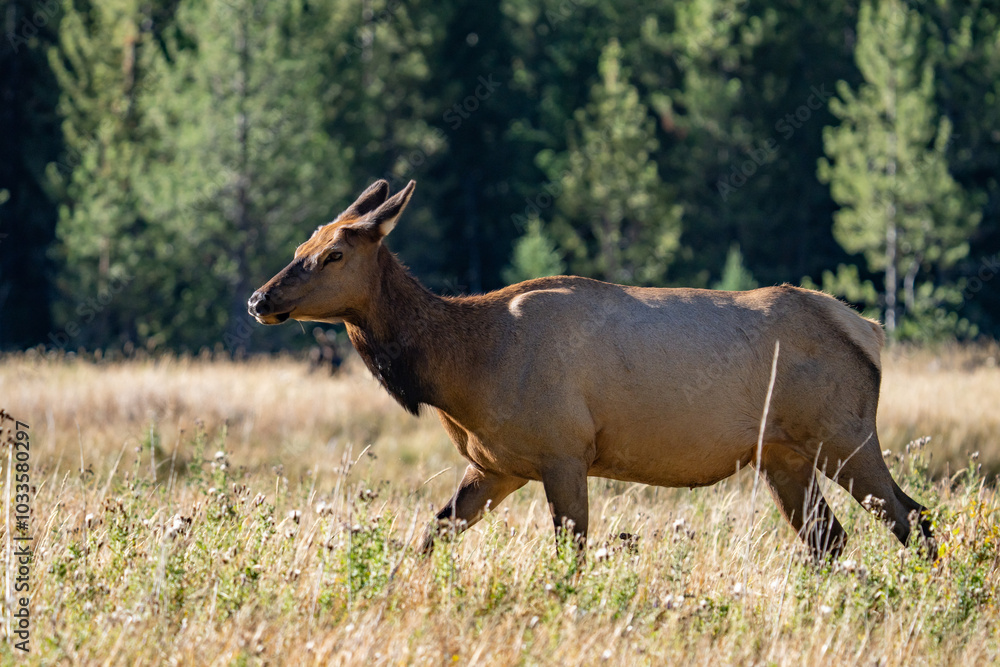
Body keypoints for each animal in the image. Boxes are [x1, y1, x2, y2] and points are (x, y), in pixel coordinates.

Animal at [248, 180, 935, 560]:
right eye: (301, 246)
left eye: (334, 254)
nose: (259, 299)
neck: (462, 369)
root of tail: (868, 331)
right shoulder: (496, 465)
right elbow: (431, 535)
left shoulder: (564, 451)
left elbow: (570, 555)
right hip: (784, 455)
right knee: (831, 540)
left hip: (846, 434)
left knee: (913, 518)